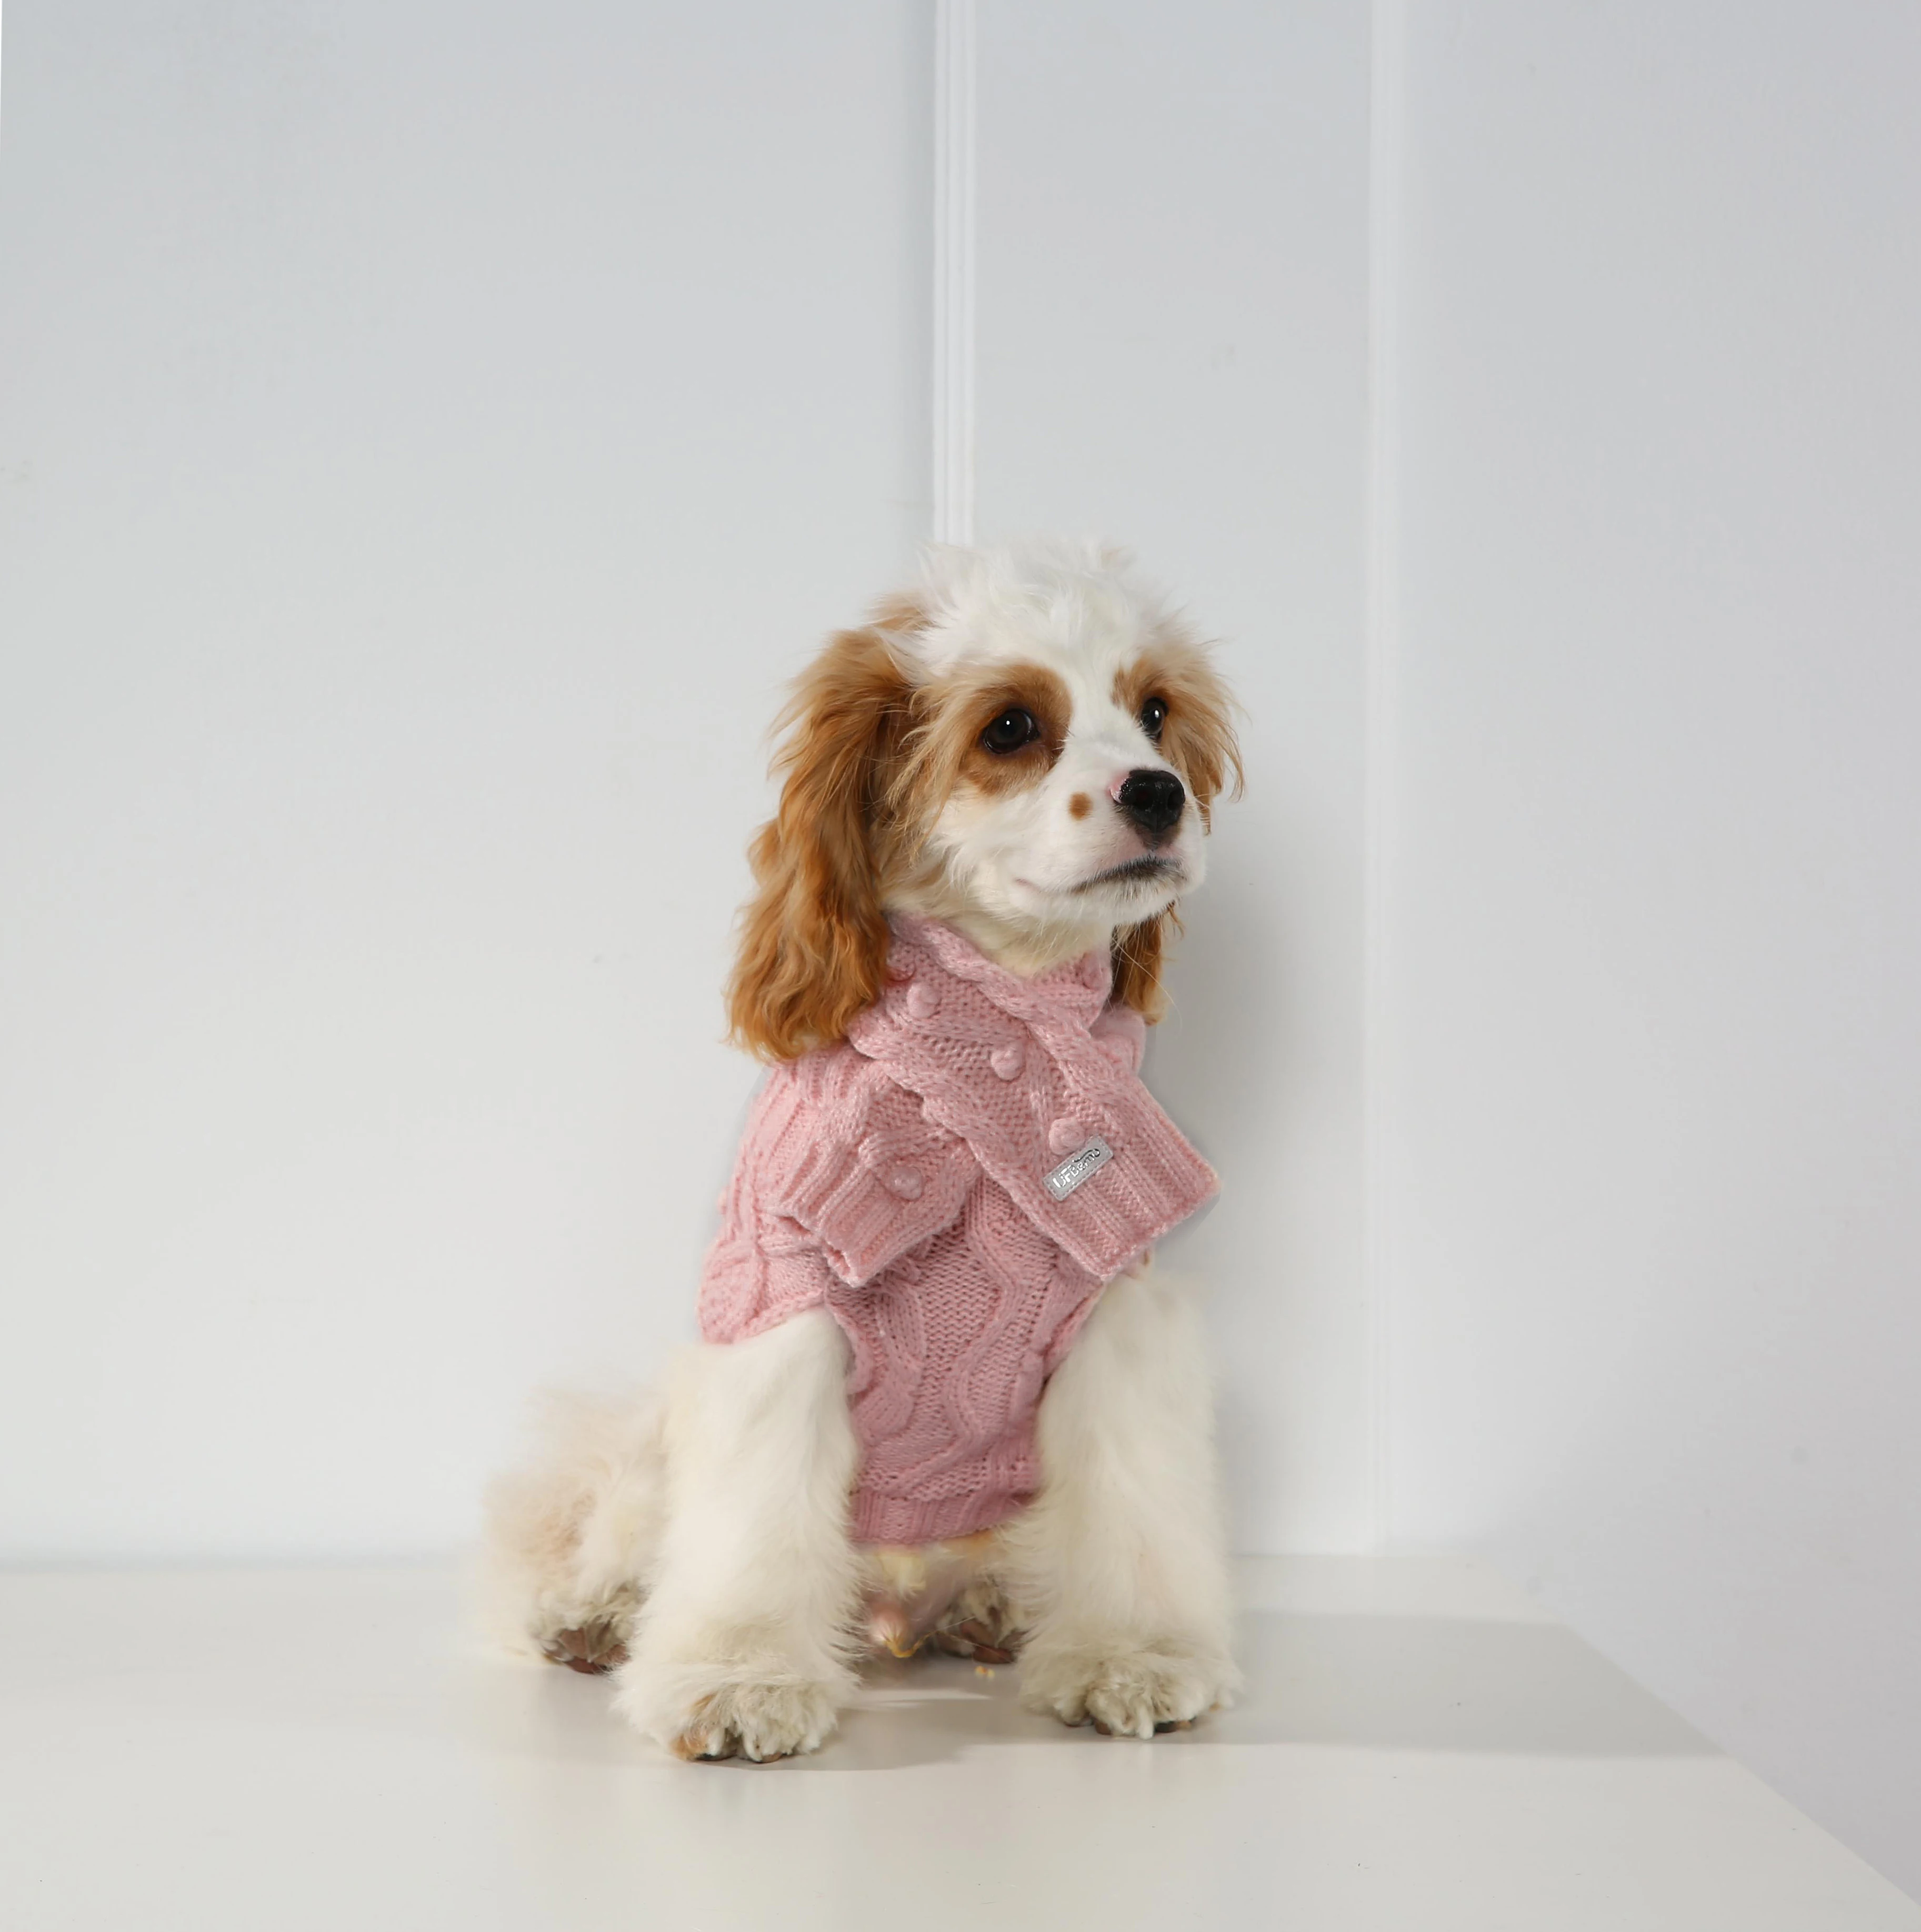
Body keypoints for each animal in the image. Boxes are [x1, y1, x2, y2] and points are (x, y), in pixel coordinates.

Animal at [484, 538, 1244, 1761]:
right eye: (1012, 727)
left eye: (1156, 714)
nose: (1157, 791)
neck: (999, 1019)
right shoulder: (784, 1309)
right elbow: (751, 1523)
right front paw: (739, 1676)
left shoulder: (1116, 1322)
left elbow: (1130, 1505)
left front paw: (1130, 1656)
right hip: (656, 1436)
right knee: (624, 1530)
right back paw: (596, 1615)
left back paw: (992, 1609)